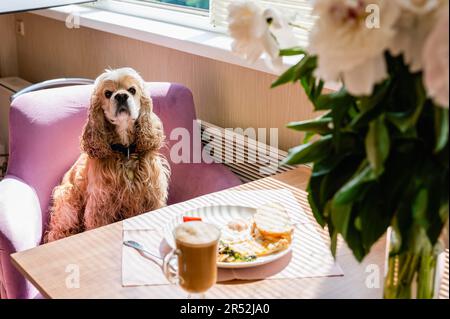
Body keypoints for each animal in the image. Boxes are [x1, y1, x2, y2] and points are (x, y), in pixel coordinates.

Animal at [44, 67, 170, 242]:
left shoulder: (153, 196)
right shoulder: (100, 205)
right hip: (67, 202)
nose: (121, 96)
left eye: (132, 90)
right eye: (108, 93)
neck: (125, 151)